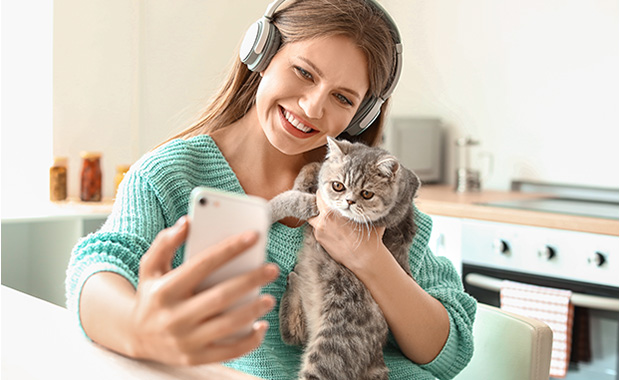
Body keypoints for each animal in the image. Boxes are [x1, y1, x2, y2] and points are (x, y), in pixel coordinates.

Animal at [268, 137, 418, 380]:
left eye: (367, 194)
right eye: (338, 185)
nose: (349, 201)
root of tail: (376, 360)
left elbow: (291, 199)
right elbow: (314, 171)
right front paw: (310, 172)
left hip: (329, 352)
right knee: (293, 333)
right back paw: (295, 280)